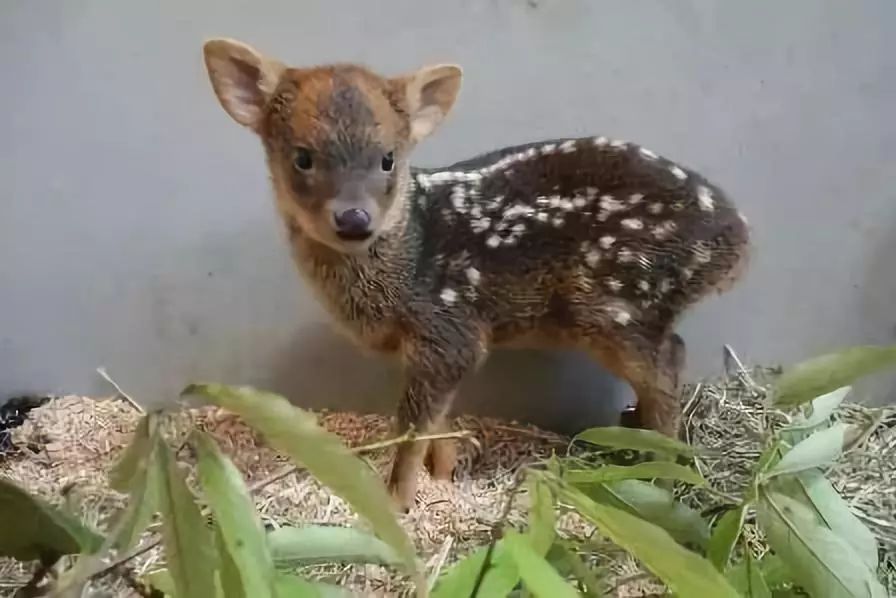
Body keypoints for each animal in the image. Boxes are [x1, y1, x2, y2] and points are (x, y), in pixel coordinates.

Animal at [201, 38, 748, 510]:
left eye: (388, 159)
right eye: (302, 157)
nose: (353, 219)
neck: (408, 262)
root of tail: (738, 237)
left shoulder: (449, 329)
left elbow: (412, 427)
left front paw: (396, 502)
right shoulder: (436, 347)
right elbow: (440, 419)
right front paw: (444, 478)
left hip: (617, 302)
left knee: (669, 360)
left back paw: (662, 472)